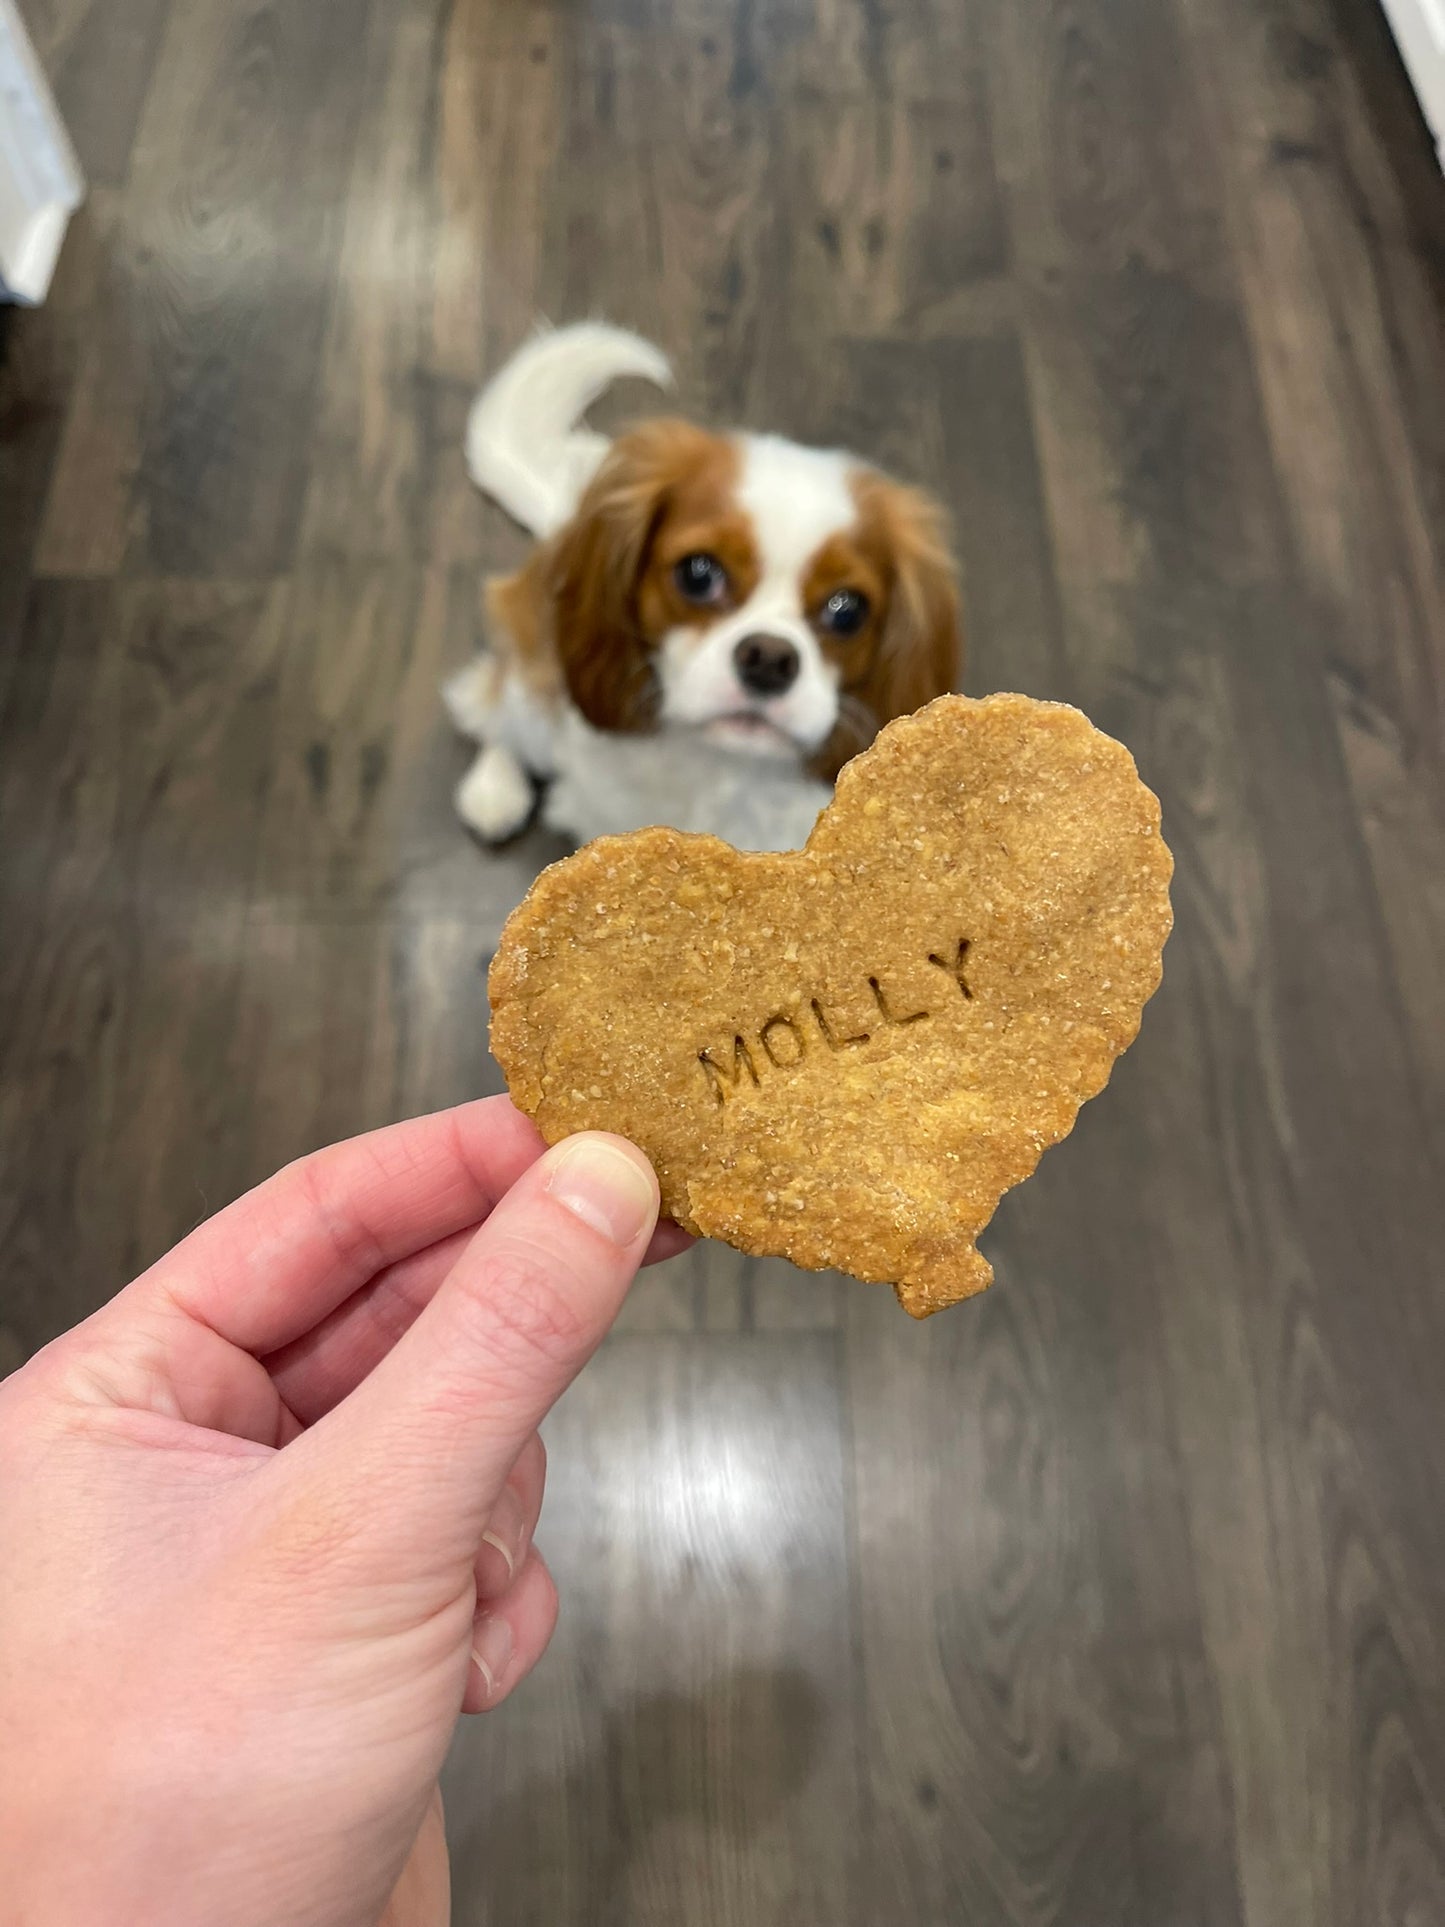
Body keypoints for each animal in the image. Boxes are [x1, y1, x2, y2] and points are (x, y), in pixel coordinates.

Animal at [445, 323, 963, 851]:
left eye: (848, 610)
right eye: (698, 573)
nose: (769, 658)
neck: (721, 768)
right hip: (534, 684)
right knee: (493, 704)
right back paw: (494, 789)